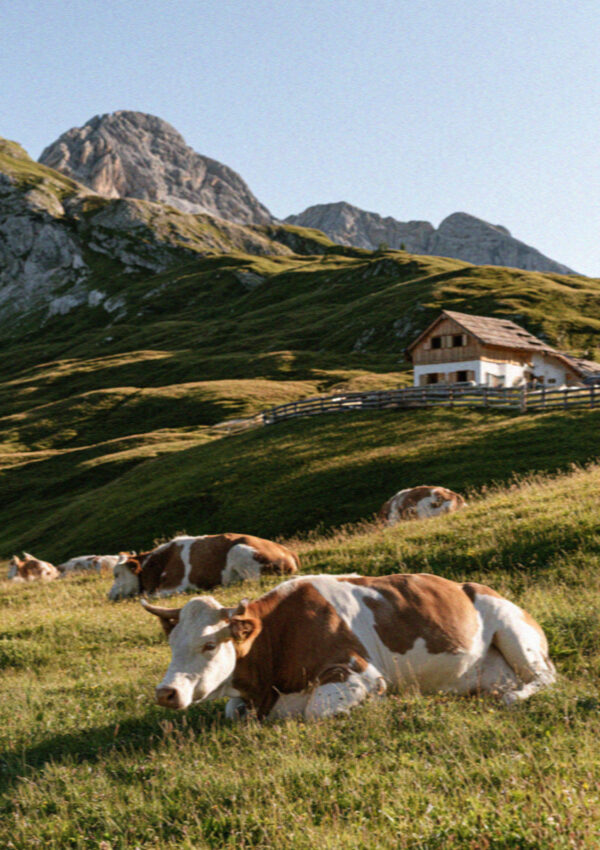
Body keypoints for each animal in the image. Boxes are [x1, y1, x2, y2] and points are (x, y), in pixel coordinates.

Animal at [108, 534, 300, 601]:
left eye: (116, 574)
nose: (109, 594)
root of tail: (289, 551)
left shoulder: (175, 586)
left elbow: (148, 596)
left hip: (239, 550)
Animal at [143, 572, 556, 721]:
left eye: (210, 644)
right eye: (172, 643)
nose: (166, 692)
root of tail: (472, 586)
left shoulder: (359, 672)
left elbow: (316, 711)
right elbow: (232, 711)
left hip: (514, 632)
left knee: (545, 680)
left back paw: (513, 696)